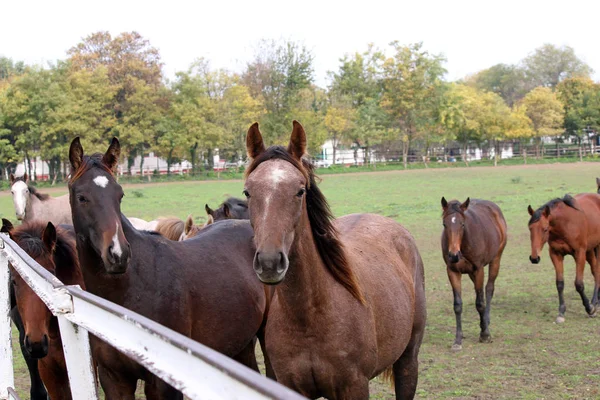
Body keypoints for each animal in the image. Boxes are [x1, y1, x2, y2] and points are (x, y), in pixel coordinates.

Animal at [68, 138, 270, 400]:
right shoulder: (113, 378)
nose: (118, 254)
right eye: (82, 197)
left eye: (119, 195)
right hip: (240, 345)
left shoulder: (162, 384)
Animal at [241, 122, 424, 400]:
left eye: (300, 191)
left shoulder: (355, 387)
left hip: (408, 359)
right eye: (248, 192)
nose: (270, 262)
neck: (309, 316)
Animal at [440, 197, 506, 350]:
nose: (453, 255)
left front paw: (485, 335)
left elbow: (480, 303)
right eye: (444, 224)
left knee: (489, 289)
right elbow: (457, 305)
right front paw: (458, 340)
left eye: (462, 224)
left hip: (496, 259)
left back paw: (486, 321)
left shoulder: (478, 269)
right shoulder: (452, 271)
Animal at [528, 194, 600, 322]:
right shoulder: (555, 254)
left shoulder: (579, 254)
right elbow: (560, 284)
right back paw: (596, 302)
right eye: (530, 228)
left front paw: (589, 309)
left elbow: (579, 284)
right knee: (595, 271)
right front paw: (561, 312)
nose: (534, 258)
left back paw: (594, 303)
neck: (565, 224)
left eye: (545, 229)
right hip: (590, 251)